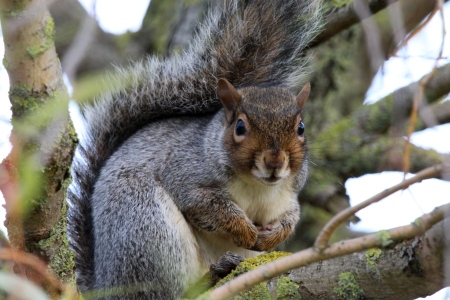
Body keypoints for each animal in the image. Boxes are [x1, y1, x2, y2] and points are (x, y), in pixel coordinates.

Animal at [66, 1, 320, 298]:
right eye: (240, 127)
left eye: (301, 128)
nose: (275, 161)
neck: (257, 186)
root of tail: (104, 287)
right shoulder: (185, 175)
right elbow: (208, 207)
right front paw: (246, 231)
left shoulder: (288, 196)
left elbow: (291, 218)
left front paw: (272, 236)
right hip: (146, 228)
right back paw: (211, 277)